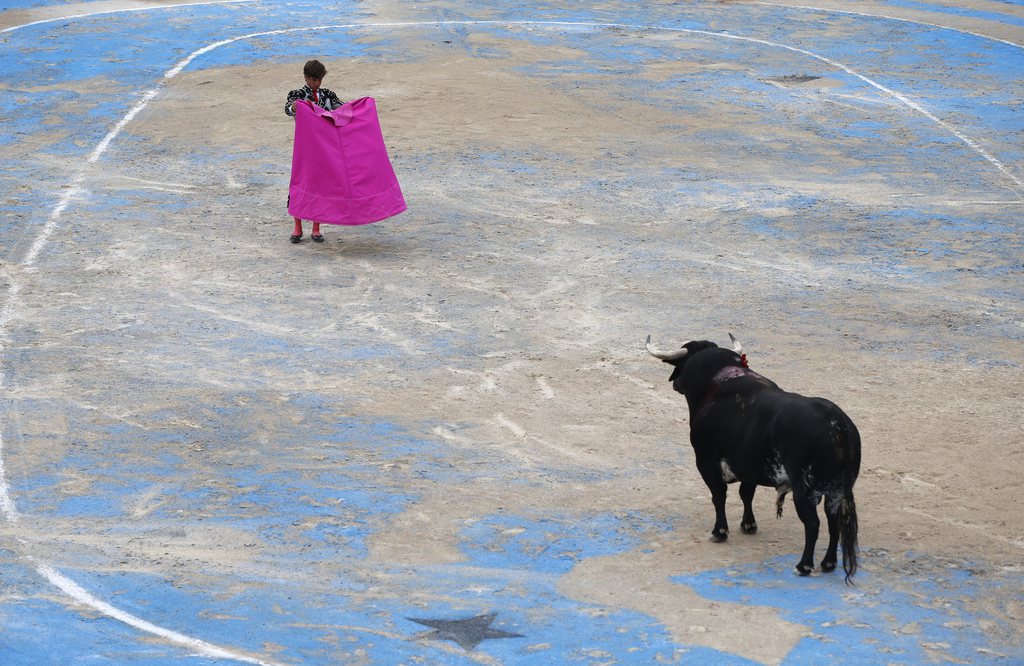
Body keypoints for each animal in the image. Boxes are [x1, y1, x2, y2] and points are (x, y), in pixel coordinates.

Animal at [647, 334, 864, 577]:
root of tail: (837, 423)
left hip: (804, 490)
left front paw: (719, 531)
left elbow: (719, 495)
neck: (715, 381)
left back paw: (804, 565)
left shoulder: (706, 461)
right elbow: (746, 494)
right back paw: (828, 563)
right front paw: (748, 525)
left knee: (813, 524)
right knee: (833, 521)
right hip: (838, 490)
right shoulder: (748, 466)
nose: (675, 383)